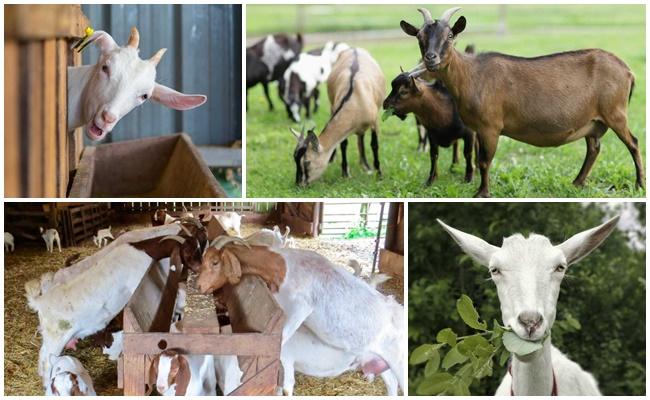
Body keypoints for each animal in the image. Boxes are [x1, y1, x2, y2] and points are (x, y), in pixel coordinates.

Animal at [195, 236, 402, 392]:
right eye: (203, 260)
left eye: (215, 262)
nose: (198, 286)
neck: (283, 267)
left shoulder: (300, 307)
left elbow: (283, 339)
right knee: (391, 383)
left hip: (397, 360)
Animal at [292, 47, 384, 185]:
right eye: (295, 159)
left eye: (307, 162)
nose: (299, 184)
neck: (356, 99)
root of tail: (354, 48)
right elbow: (343, 144)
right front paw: (345, 173)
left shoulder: (375, 121)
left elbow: (374, 145)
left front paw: (379, 174)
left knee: (361, 137)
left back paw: (366, 165)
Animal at [398, 6, 640, 197]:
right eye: (419, 37)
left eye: (449, 36)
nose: (431, 58)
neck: (471, 75)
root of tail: (628, 71)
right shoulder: (476, 128)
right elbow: (477, 157)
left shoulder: (490, 126)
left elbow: (484, 160)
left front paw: (482, 193)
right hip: (592, 120)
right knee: (594, 147)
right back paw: (577, 182)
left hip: (615, 112)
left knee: (633, 143)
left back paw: (639, 184)